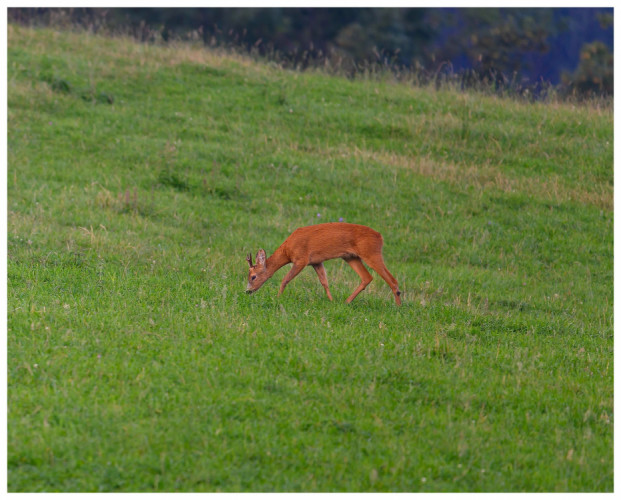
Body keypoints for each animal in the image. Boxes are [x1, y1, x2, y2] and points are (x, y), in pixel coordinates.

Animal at [245, 224, 400, 304]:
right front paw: (331, 301)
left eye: (253, 276)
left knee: (392, 279)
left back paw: (398, 306)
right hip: (351, 257)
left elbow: (285, 279)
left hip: (371, 253)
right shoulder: (316, 261)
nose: (247, 291)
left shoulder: (302, 259)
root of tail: (380, 237)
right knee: (367, 277)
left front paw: (278, 298)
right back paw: (346, 302)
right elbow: (324, 282)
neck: (288, 250)